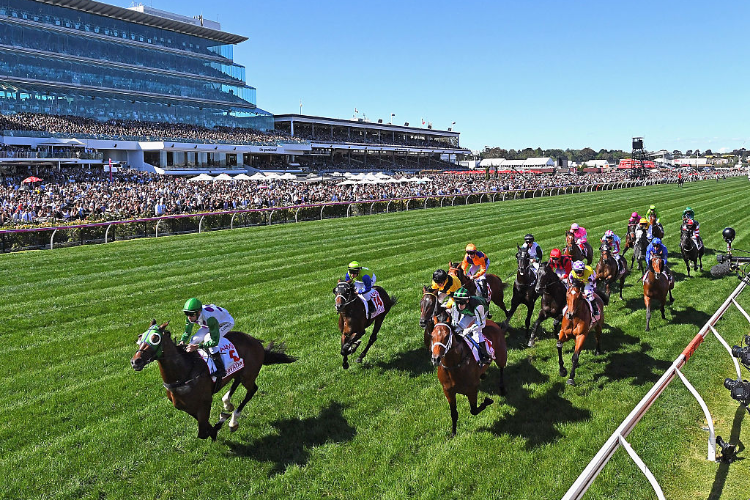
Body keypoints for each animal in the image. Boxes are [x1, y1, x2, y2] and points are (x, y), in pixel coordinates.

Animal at [131, 318, 296, 440]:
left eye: (155, 338)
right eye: (139, 338)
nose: (135, 361)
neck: (184, 373)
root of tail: (255, 341)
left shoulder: (205, 402)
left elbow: (203, 432)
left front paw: (223, 420)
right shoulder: (186, 407)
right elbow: (204, 430)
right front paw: (217, 425)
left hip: (248, 375)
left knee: (252, 390)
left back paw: (233, 420)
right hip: (239, 372)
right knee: (236, 382)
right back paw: (227, 402)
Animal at [428, 308, 512, 438]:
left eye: (446, 336)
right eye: (432, 335)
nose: (435, 359)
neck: (454, 367)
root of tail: (492, 323)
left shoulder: (472, 389)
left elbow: (474, 410)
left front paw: (488, 401)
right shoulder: (448, 391)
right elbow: (454, 413)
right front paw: (453, 432)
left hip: (501, 355)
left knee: (501, 369)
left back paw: (502, 388)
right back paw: (483, 374)